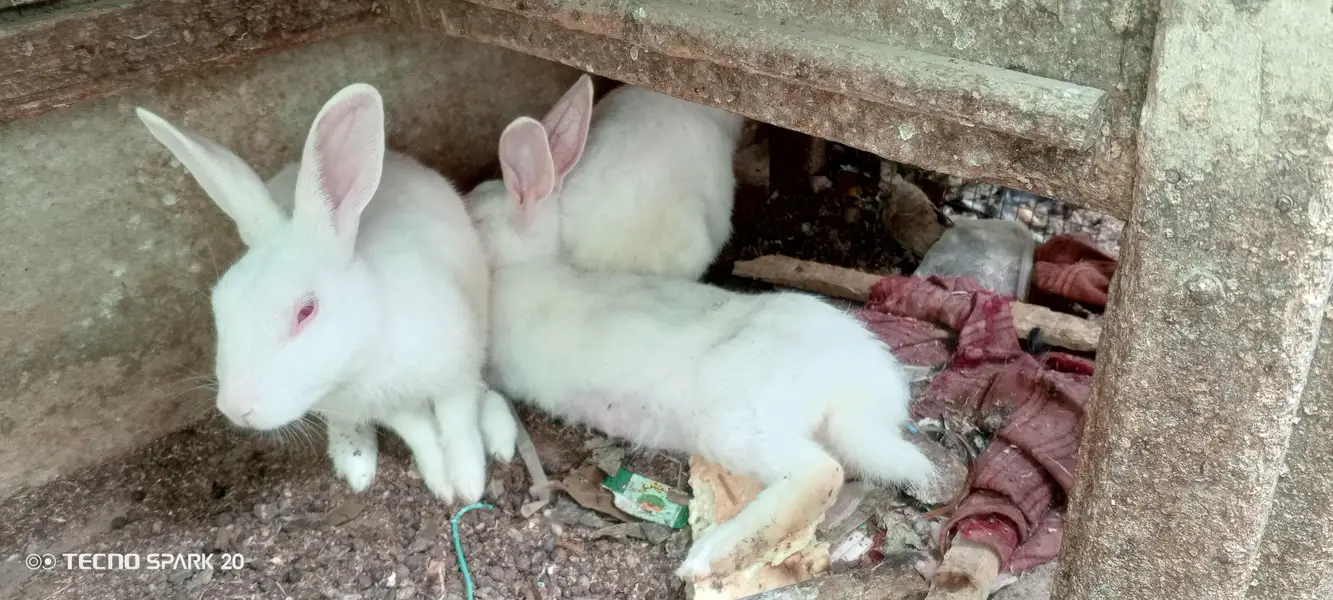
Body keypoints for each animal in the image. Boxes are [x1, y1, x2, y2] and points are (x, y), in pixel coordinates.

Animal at [136, 84, 516, 503]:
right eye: (219, 305)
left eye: (306, 311)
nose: (236, 409)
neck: (364, 355)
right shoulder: (389, 408)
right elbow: (421, 434)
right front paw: (441, 482)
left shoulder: (455, 371)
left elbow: (457, 424)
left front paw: (468, 484)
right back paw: (356, 463)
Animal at [466, 110, 935, 578]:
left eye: (474, 219)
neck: (522, 266)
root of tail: (854, 394)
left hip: (733, 425)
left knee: (820, 473)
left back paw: (709, 556)